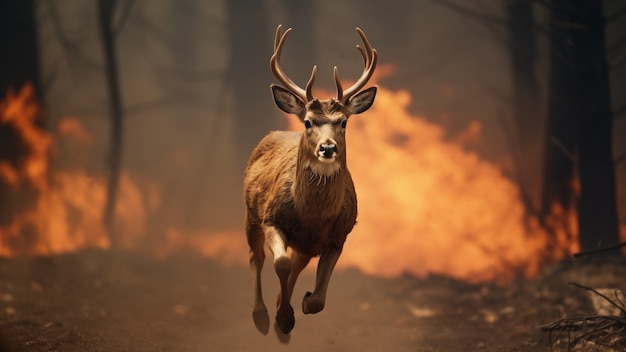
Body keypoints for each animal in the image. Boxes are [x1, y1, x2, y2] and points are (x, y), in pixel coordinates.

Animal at [244, 25, 376, 336]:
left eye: (343, 122)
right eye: (307, 122)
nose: (327, 148)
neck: (312, 217)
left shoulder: (338, 238)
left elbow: (317, 300)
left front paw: (298, 305)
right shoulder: (271, 219)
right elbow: (280, 263)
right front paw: (283, 317)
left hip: (304, 245)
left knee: (297, 263)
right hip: (250, 215)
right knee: (258, 257)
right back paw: (261, 315)